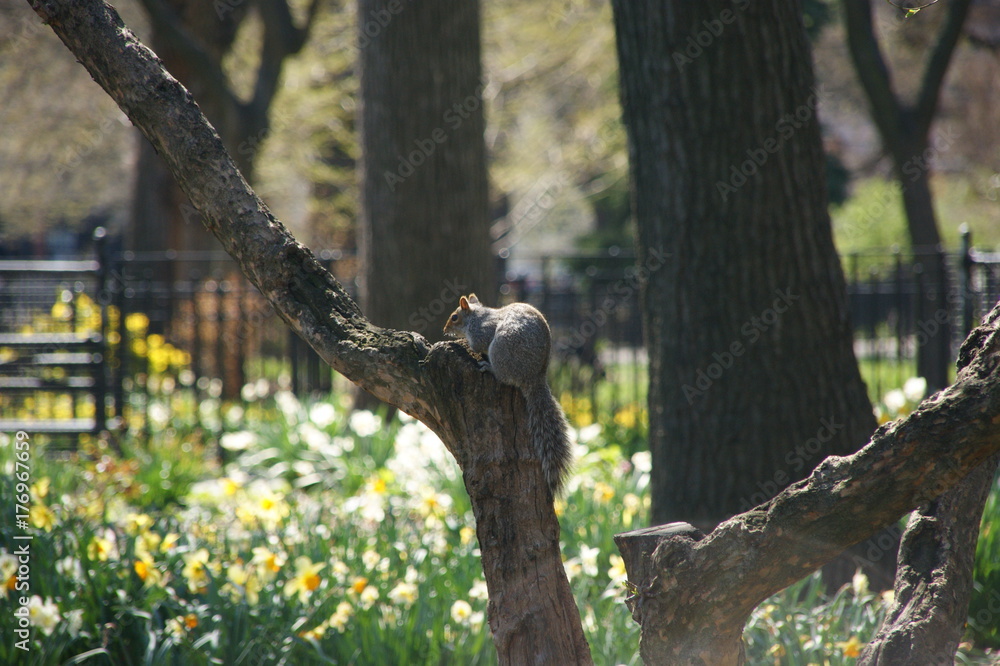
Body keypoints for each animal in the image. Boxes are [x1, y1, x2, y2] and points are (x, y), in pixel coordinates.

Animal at [443, 293, 572, 496]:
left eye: (454, 317)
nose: (444, 329)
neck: (476, 317)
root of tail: (534, 378)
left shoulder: (481, 332)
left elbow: (477, 344)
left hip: (502, 350)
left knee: (503, 376)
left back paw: (489, 367)